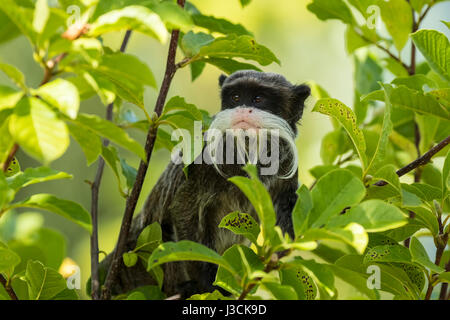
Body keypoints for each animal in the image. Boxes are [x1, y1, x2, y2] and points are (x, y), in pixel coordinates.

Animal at [102, 70, 312, 298]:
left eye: (258, 99)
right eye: (235, 97)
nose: (241, 109)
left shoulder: (286, 166)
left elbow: (287, 207)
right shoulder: (201, 163)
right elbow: (183, 209)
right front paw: (206, 283)